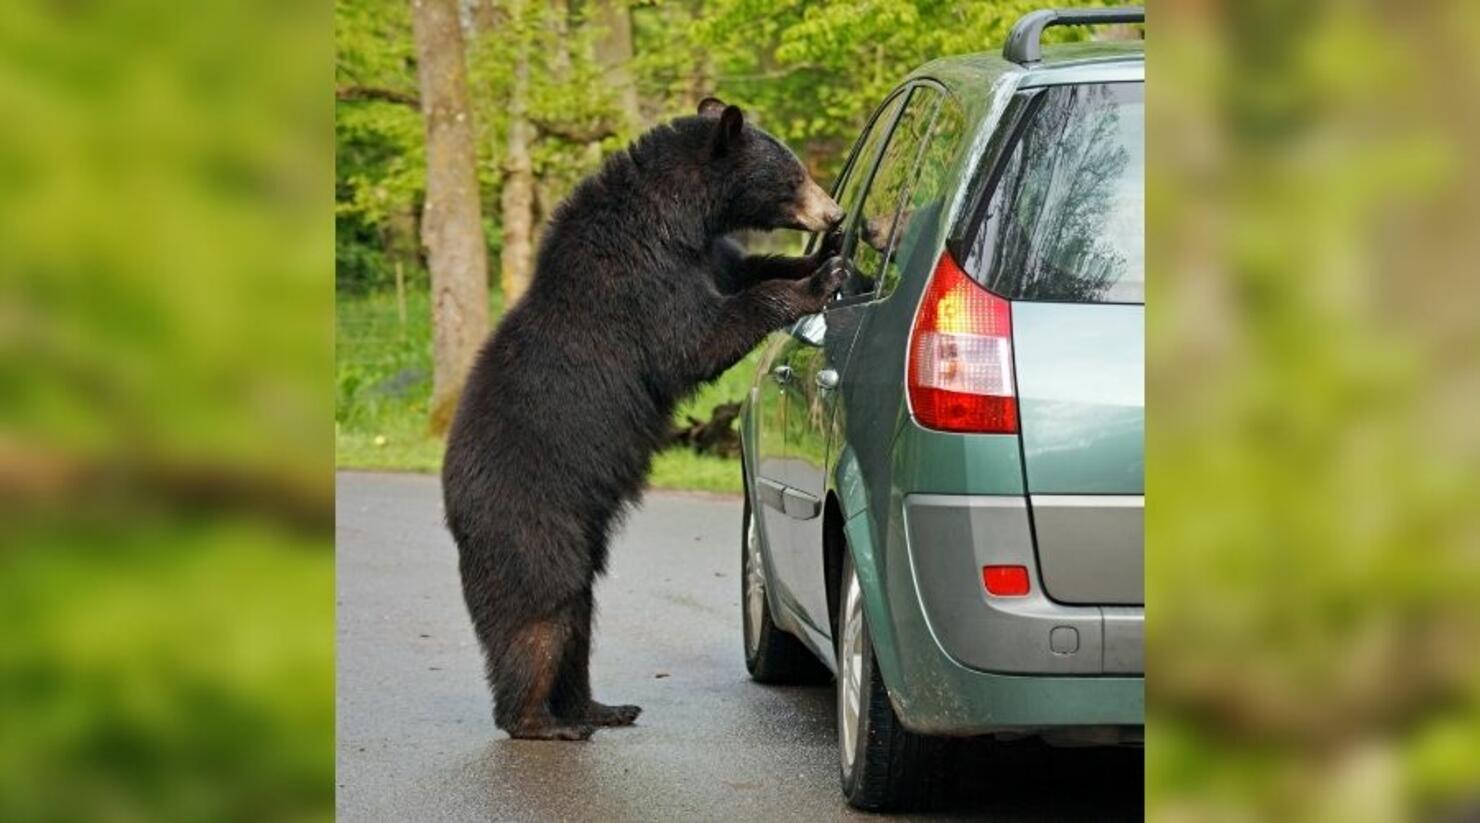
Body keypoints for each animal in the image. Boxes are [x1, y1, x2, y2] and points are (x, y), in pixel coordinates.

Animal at [438, 97, 846, 740]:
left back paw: (599, 707)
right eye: (792, 175)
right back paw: (541, 720)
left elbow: (746, 268)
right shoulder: (640, 282)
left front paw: (821, 256)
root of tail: (452, 505)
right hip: (531, 520)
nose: (834, 211)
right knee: (542, 613)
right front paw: (817, 280)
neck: (675, 221)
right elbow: (698, 338)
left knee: (577, 619)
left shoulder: (708, 255)